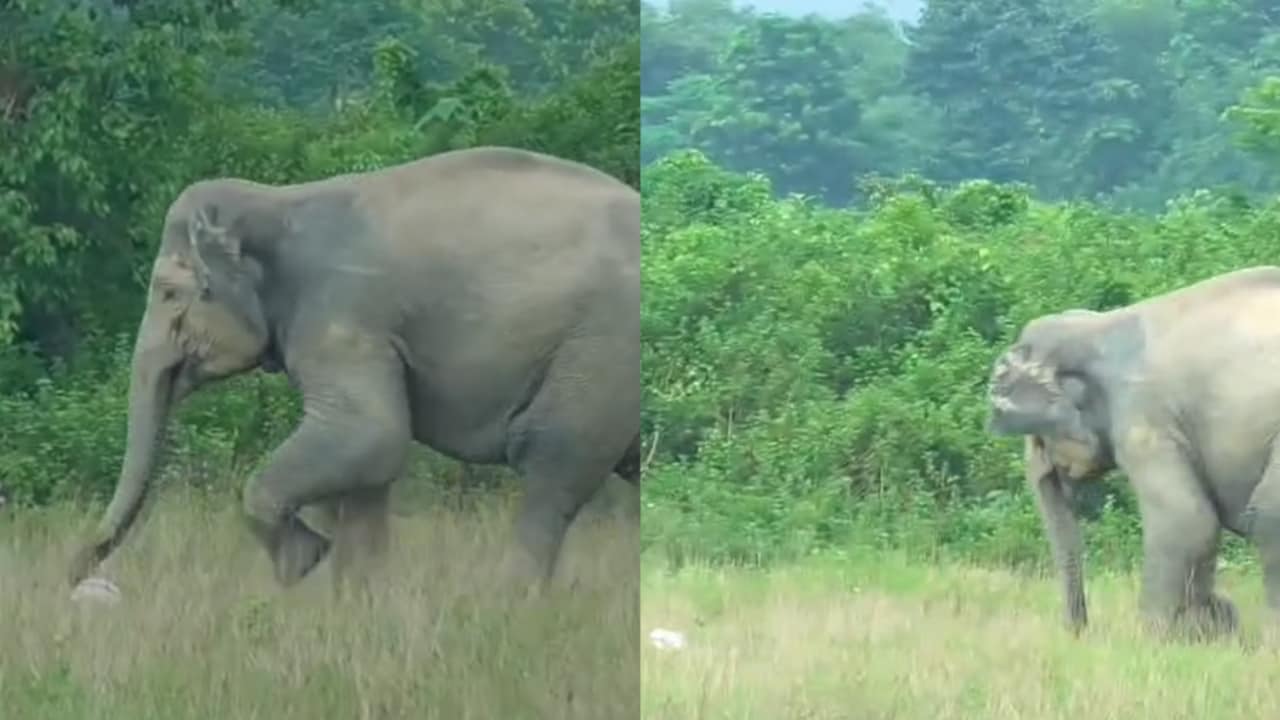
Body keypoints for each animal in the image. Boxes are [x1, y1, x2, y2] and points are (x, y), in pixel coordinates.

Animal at [67, 146, 640, 594]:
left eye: (168, 293)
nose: (77, 575)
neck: (278, 200)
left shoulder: (345, 315)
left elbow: (370, 434)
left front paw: (305, 561)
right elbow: (370, 469)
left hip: (598, 357)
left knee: (550, 461)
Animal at [986, 265, 1280, 640]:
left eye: (1038, 439)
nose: (1078, 631)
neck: (1099, 326)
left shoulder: (1144, 416)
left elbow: (1185, 519)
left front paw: (1157, 637)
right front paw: (1207, 628)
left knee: (1269, 516)